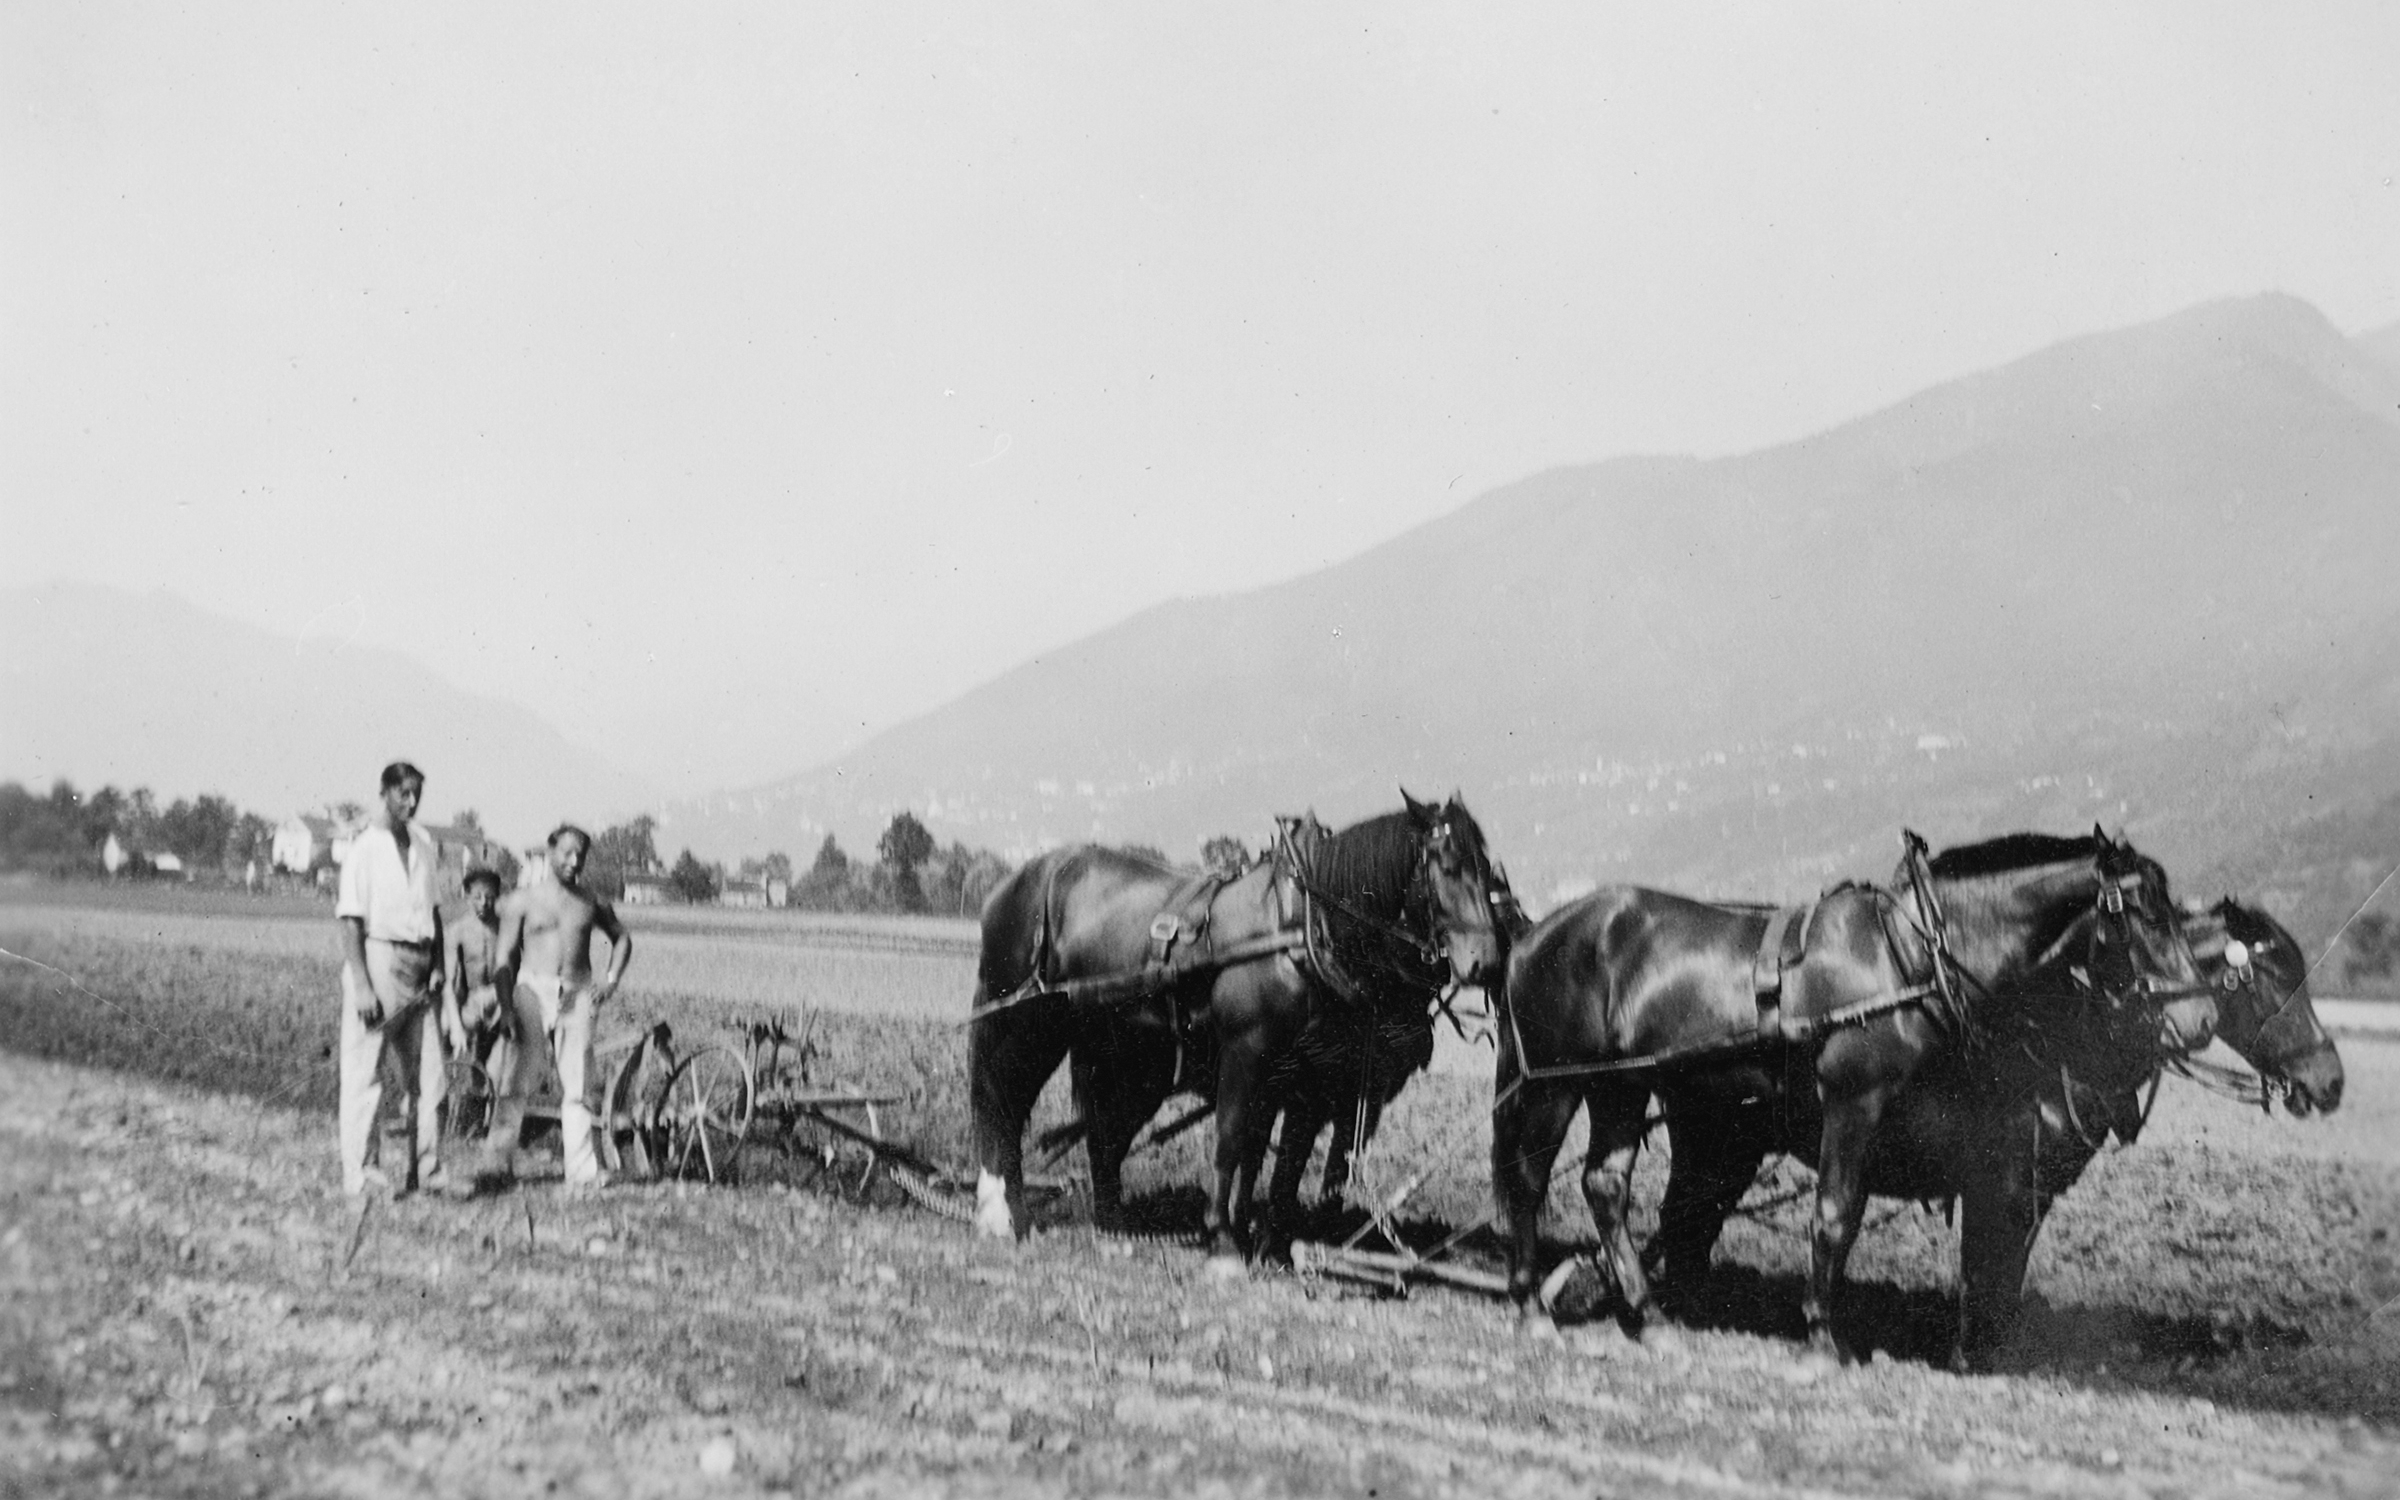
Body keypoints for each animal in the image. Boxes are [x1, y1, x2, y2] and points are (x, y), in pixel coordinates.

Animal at [969, 791, 1506, 1265]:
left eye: (1488, 870)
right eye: (1448, 867)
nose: (1485, 962)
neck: (1300, 929)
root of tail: (1016, 881)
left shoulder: (1307, 1078)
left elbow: (1282, 1161)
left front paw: (1271, 1244)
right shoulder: (1247, 1053)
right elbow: (1232, 1142)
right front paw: (1226, 1239)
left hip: (1123, 1051)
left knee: (1103, 1130)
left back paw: (1111, 1225)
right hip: (1026, 1024)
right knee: (1004, 1101)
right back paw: (1002, 1213)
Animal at [1492, 828, 2212, 1364]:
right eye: (2146, 915)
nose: (2200, 1019)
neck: (1906, 958)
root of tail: (1532, 936)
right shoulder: (1854, 1103)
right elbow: (1837, 1216)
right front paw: (1820, 1340)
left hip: (1622, 1087)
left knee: (1606, 1186)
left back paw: (1652, 1318)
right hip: (1556, 1086)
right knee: (1529, 1181)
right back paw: (1531, 1306)